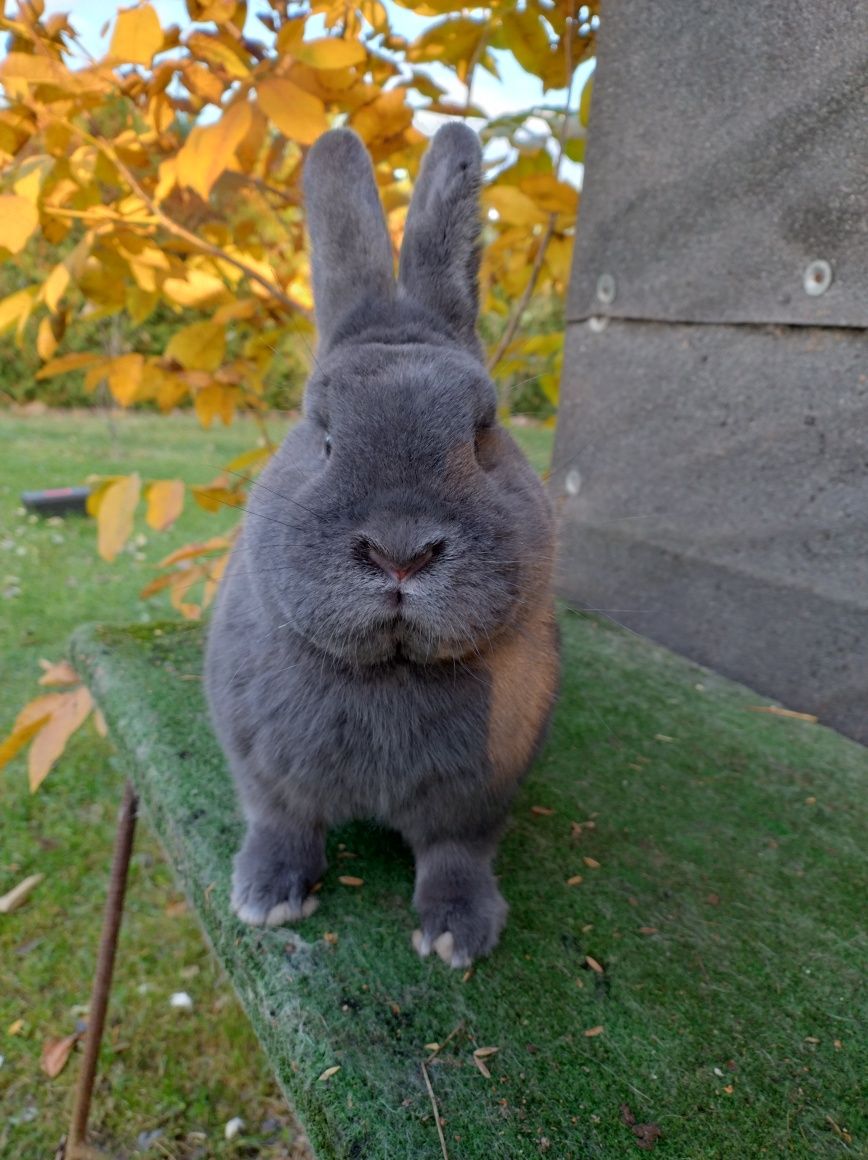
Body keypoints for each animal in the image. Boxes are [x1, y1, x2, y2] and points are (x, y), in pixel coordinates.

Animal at [204, 120, 559, 969]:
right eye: (324, 435)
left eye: (483, 434)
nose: (401, 553)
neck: (389, 673)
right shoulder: (263, 770)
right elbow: (279, 822)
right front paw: (265, 898)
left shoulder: (477, 799)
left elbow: (456, 855)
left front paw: (457, 936)